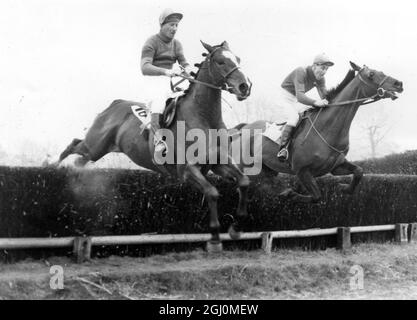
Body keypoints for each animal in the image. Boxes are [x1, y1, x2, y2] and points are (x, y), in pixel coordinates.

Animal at [55, 40, 250, 251]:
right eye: (221, 61)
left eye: (238, 59)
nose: (245, 86)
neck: (203, 118)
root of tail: (114, 105)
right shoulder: (187, 170)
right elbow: (213, 193)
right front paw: (214, 237)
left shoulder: (217, 163)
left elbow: (244, 181)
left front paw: (236, 227)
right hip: (94, 146)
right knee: (72, 146)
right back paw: (52, 167)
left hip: (98, 150)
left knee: (79, 160)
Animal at [232, 62, 402, 202]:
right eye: (371, 74)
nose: (399, 83)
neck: (327, 128)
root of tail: (244, 128)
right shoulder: (302, 170)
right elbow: (316, 196)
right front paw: (290, 194)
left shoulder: (335, 167)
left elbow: (359, 171)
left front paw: (344, 188)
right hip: (246, 167)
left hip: (267, 169)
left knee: (263, 185)